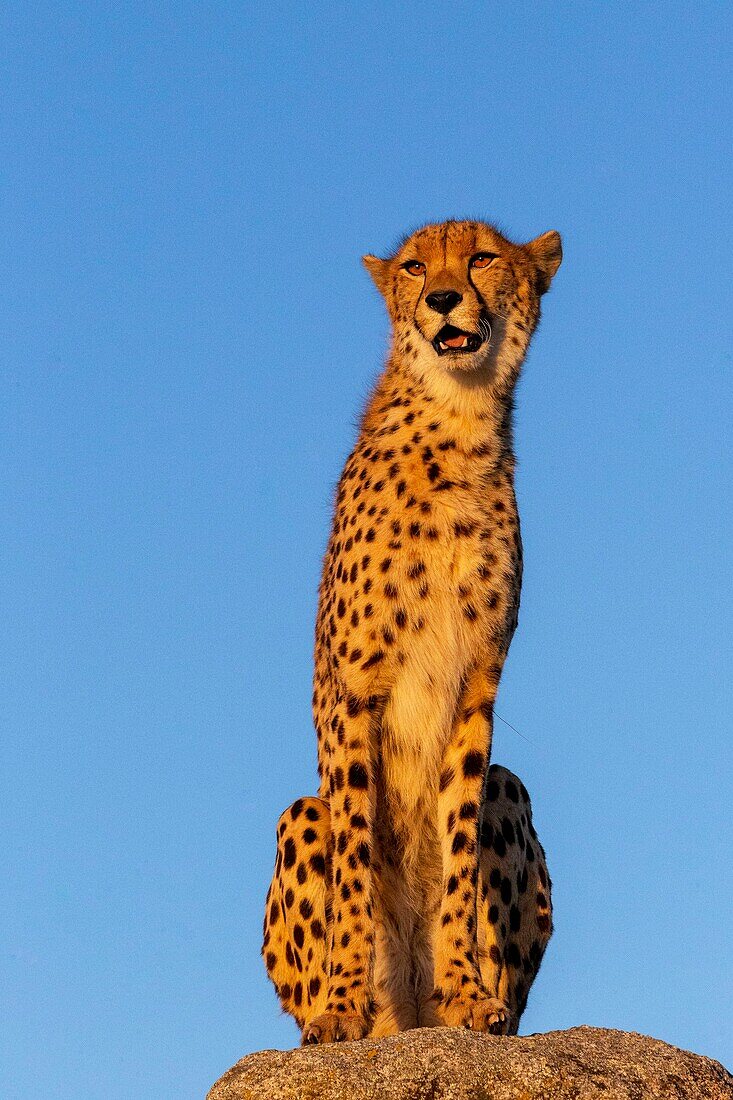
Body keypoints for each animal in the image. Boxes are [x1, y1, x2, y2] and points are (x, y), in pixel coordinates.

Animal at [260, 218, 559, 1042]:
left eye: (483, 258)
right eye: (417, 267)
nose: (445, 299)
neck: (456, 429)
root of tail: (406, 1017)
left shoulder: (478, 682)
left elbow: (457, 844)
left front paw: (464, 990)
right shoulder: (352, 691)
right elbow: (357, 854)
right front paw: (339, 1006)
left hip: (509, 788)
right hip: (301, 812)